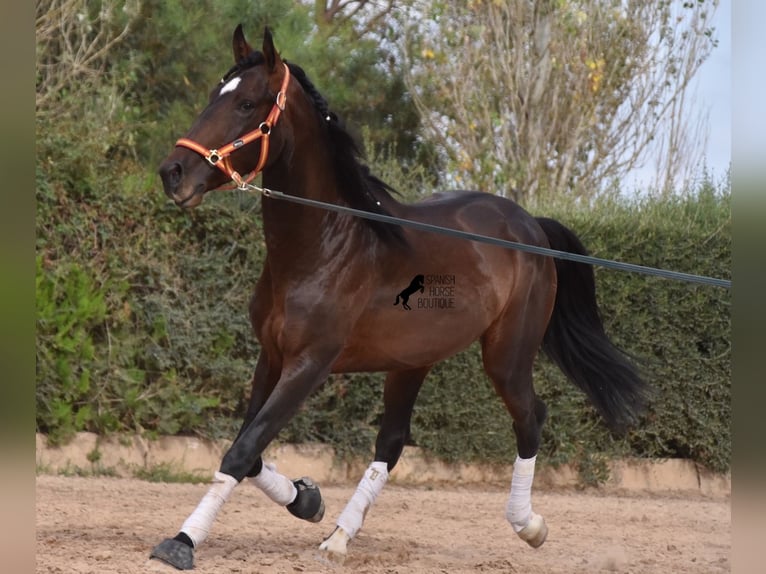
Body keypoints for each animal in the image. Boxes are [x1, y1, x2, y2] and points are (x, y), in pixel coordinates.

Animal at [150, 25, 648, 572]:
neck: (327, 246)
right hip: (413, 361)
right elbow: (250, 446)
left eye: (246, 103)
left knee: (530, 416)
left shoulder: (310, 364)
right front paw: (307, 499)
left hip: (507, 356)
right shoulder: (272, 356)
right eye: (213, 94)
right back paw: (339, 537)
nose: (173, 172)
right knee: (391, 440)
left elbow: (242, 451)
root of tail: (529, 225)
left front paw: (181, 541)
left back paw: (529, 526)